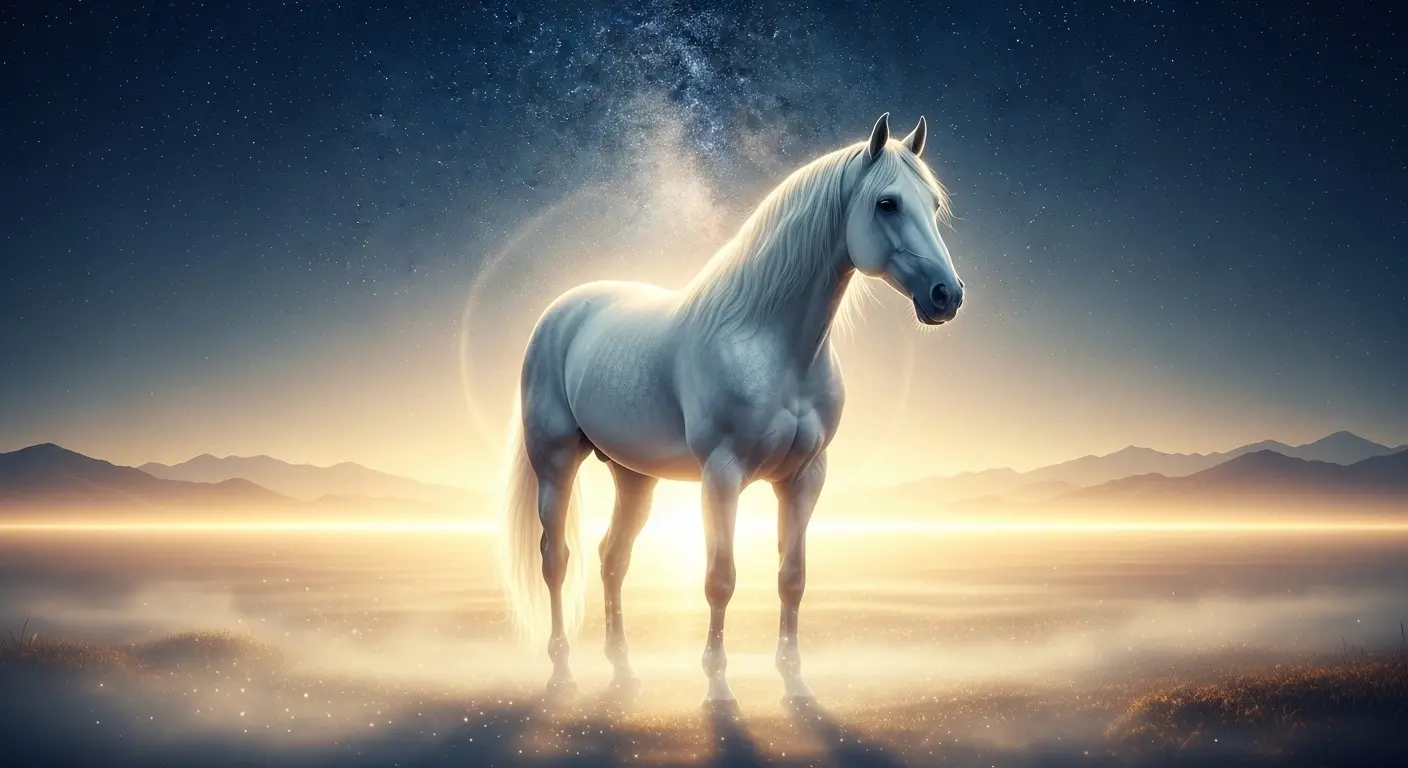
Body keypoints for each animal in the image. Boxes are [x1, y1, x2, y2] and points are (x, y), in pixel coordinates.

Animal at [497, 113, 965, 708]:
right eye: (887, 203)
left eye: (934, 203)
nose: (947, 295)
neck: (770, 342)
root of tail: (563, 310)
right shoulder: (722, 475)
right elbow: (720, 577)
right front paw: (718, 685)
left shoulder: (806, 477)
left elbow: (793, 577)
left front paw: (795, 679)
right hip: (555, 462)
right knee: (555, 558)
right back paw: (561, 671)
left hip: (633, 475)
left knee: (611, 558)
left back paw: (623, 668)